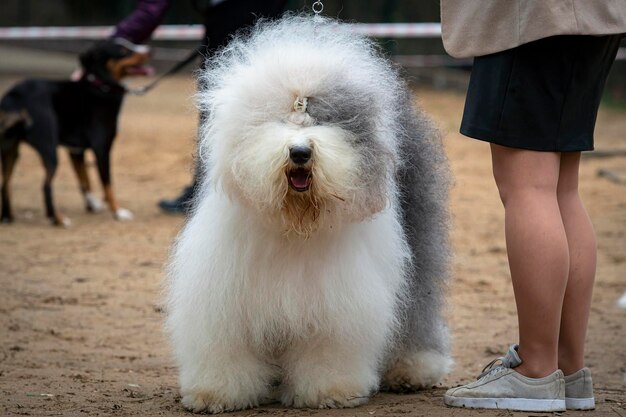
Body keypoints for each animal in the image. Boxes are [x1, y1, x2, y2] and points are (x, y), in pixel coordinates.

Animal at [0, 39, 150, 224]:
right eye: (122, 50)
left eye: (130, 43)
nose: (150, 50)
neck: (100, 87)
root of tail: (15, 95)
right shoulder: (102, 149)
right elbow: (107, 183)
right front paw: (118, 212)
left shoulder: (76, 151)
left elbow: (84, 179)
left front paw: (92, 204)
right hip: (48, 148)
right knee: (45, 186)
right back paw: (58, 219)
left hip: (10, 150)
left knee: (5, 184)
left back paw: (8, 217)